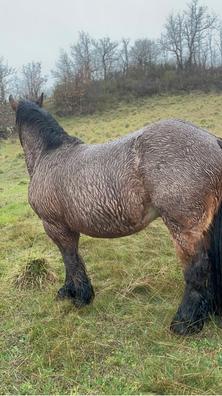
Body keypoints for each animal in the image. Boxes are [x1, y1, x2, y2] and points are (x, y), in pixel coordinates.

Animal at [9, 93, 222, 334]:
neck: (50, 154)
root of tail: (212, 140)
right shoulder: (67, 227)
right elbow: (73, 258)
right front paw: (71, 292)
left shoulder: (54, 226)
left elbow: (69, 258)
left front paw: (78, 297)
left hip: (183, 229)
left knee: (197, 268)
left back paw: (184, 323)